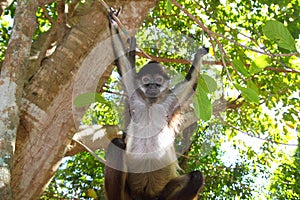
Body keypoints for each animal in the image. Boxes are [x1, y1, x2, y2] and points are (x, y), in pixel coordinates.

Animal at [105, 13, 209, 199]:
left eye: (158, 81)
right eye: (147, 80)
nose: (153, 86)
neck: (150, 104)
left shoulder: (170, 101)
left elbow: (190, 83)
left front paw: (199, 55)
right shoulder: (135, 95)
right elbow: (123, 63)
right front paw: (113, 23)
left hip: (164, 191)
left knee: (197, 176)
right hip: (128, 192)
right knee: (118, 144)